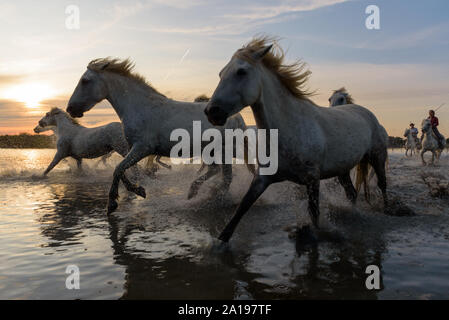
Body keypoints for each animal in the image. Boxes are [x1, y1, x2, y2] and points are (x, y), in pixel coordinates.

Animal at [67, 57, 256, 214]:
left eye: (85, 81)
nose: (70, 109)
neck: (140, 107)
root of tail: (237, 117)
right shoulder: (133, 149)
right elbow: (123, 170)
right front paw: (138, 190)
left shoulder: (142, 148)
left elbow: (118, 169)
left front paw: (113, 202)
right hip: (212, 151)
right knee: (217, 171)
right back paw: (195, 192)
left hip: (223, 150)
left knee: (227, 176)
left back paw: (212, 197)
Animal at [205, 37, 386, 242]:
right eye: (221, 73)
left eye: (241, 71)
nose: (212, 111)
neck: (288, 129)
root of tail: (367, 113)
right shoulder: (262, 178)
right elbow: (241, 209)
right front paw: (219, 242)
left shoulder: (312, 179)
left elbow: (314, 214)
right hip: (343, 169)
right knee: (351, 193)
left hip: (377, 158)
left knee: (382, 185)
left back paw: (388, 209)